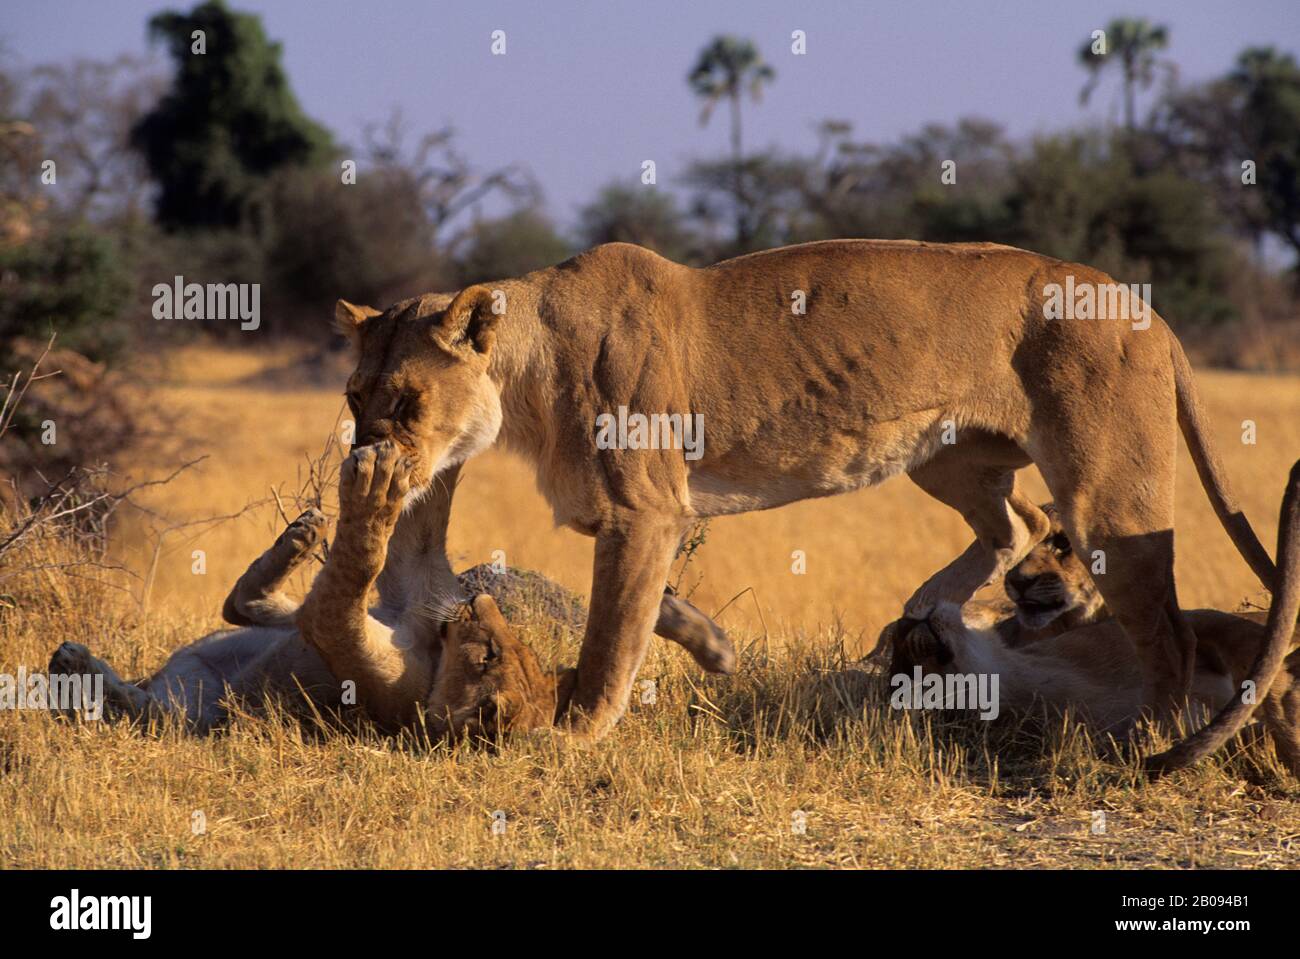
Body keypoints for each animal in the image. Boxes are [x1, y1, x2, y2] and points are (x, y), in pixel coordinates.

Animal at [49, 441, 734, 732]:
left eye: (490, 654)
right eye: (508, 648)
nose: (476, 602)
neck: (431, 649)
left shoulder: (342, 631)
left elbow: (353, 565)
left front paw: (374, 487)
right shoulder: (413, 587)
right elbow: (421, 519)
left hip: (190, 710)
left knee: (142, 707)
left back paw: (75, 666)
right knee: (242, 604)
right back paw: (299, 534)